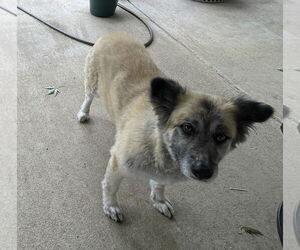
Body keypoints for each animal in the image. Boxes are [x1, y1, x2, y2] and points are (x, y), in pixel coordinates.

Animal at [77, 33, 274, 223]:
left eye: (221, 137)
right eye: (187, 127)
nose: (203, 172)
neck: (158, 146)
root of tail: (113, 34)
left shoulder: (162, 175)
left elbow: (159, 184)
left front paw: (159, 200)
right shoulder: (118, 164)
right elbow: (110, 187)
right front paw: (111, 206)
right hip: (93, 84)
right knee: (88, 97)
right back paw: (83, 112)